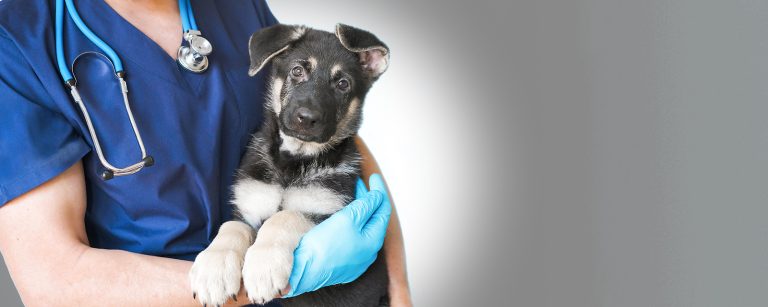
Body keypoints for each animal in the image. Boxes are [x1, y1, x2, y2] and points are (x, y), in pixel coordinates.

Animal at [187, 24, 390, 307]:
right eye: (297, 71)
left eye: (343, 84)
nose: (307, 118)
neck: (293, 160)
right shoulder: (249, 208)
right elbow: (231, 227)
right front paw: (213, 269)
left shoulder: (325, 209)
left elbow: (285, 216)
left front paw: (264, 265)